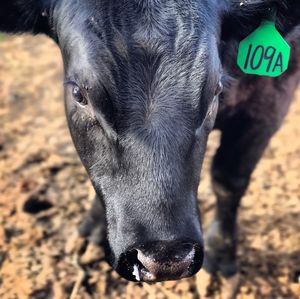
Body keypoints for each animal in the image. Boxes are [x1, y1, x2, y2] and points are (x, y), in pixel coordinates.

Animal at [0, 0, 300, 284]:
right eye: (78, 94)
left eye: (216, 89)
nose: (165, 255)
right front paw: (92, 232)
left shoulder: (270, 104)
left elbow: (229, 181)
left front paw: (221, 255)